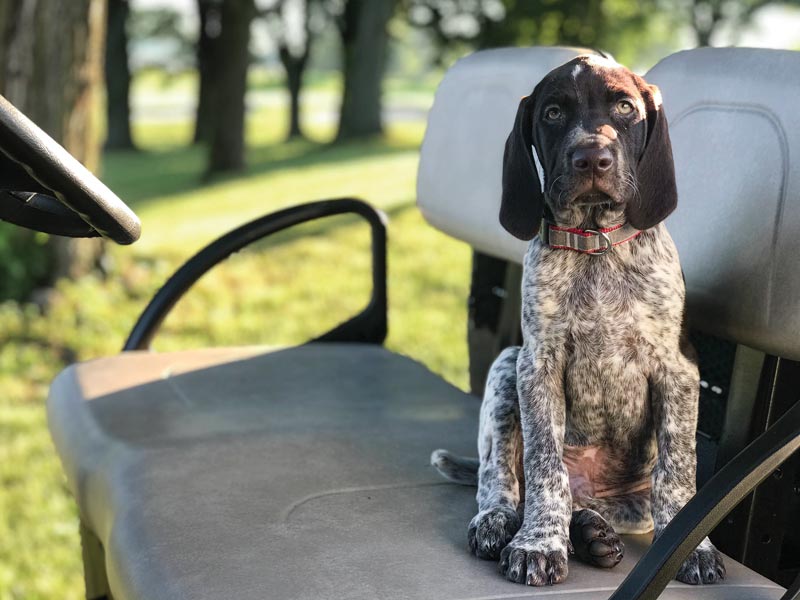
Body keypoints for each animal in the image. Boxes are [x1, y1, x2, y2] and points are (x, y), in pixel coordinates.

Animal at [432, 55, 724, 584]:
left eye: (625, 107)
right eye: (552, 113)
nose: (592, 159)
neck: (595, 245)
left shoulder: (679, 370)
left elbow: (677, 472)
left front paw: (693, 548)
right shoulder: (537, 366)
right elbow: (546, 465)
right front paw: (538, 543)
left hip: (626, 503)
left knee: (600, 504)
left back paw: (591, 532)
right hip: (507, 367)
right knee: (500, 478)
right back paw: (504, 521)